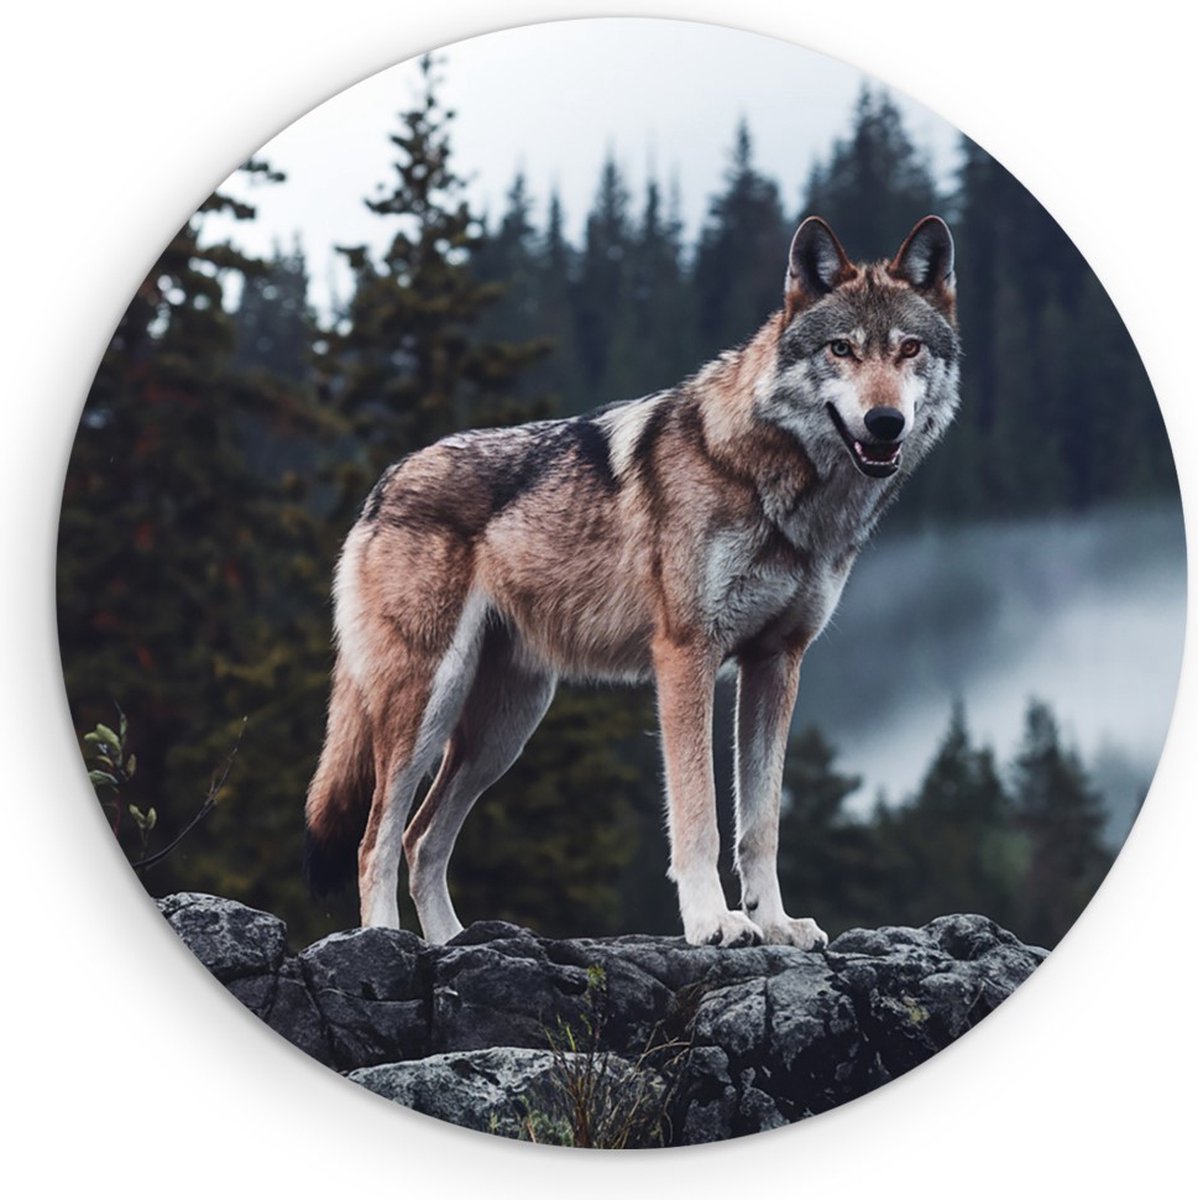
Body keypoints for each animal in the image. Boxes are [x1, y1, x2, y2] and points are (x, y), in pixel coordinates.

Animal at [304, 215, 960, 949]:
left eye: (908, 350)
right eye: (842, 349)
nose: (885, 421)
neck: (780, 489)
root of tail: (385, 483)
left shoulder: (777, 662)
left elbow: (761, 824)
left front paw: (776, 924)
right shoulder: (685, 655)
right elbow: (699, 815)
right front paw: (713, 921)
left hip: (503, 731)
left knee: (422, 840)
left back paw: (453, 944)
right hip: (428, 704)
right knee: (376, 839)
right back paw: (383, 942)